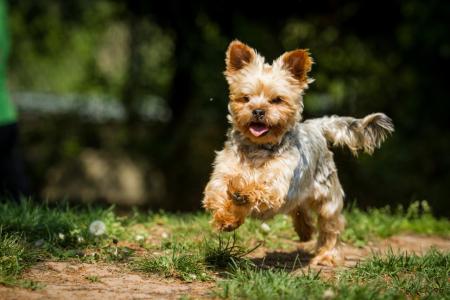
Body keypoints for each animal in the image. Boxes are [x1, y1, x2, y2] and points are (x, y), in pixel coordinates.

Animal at [202, 39, 392, 264]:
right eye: (246, 98)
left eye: (277, 100)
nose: (258, 111)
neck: (258, 147)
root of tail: (316, 125)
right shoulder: (222, 174)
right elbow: (217, 193)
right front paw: (226, 219)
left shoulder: (277, 185)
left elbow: (258, 188)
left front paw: (242, 190)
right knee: (299, 207)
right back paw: (305, 230)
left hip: (327, 197)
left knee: (331, 226)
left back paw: (327, 255)